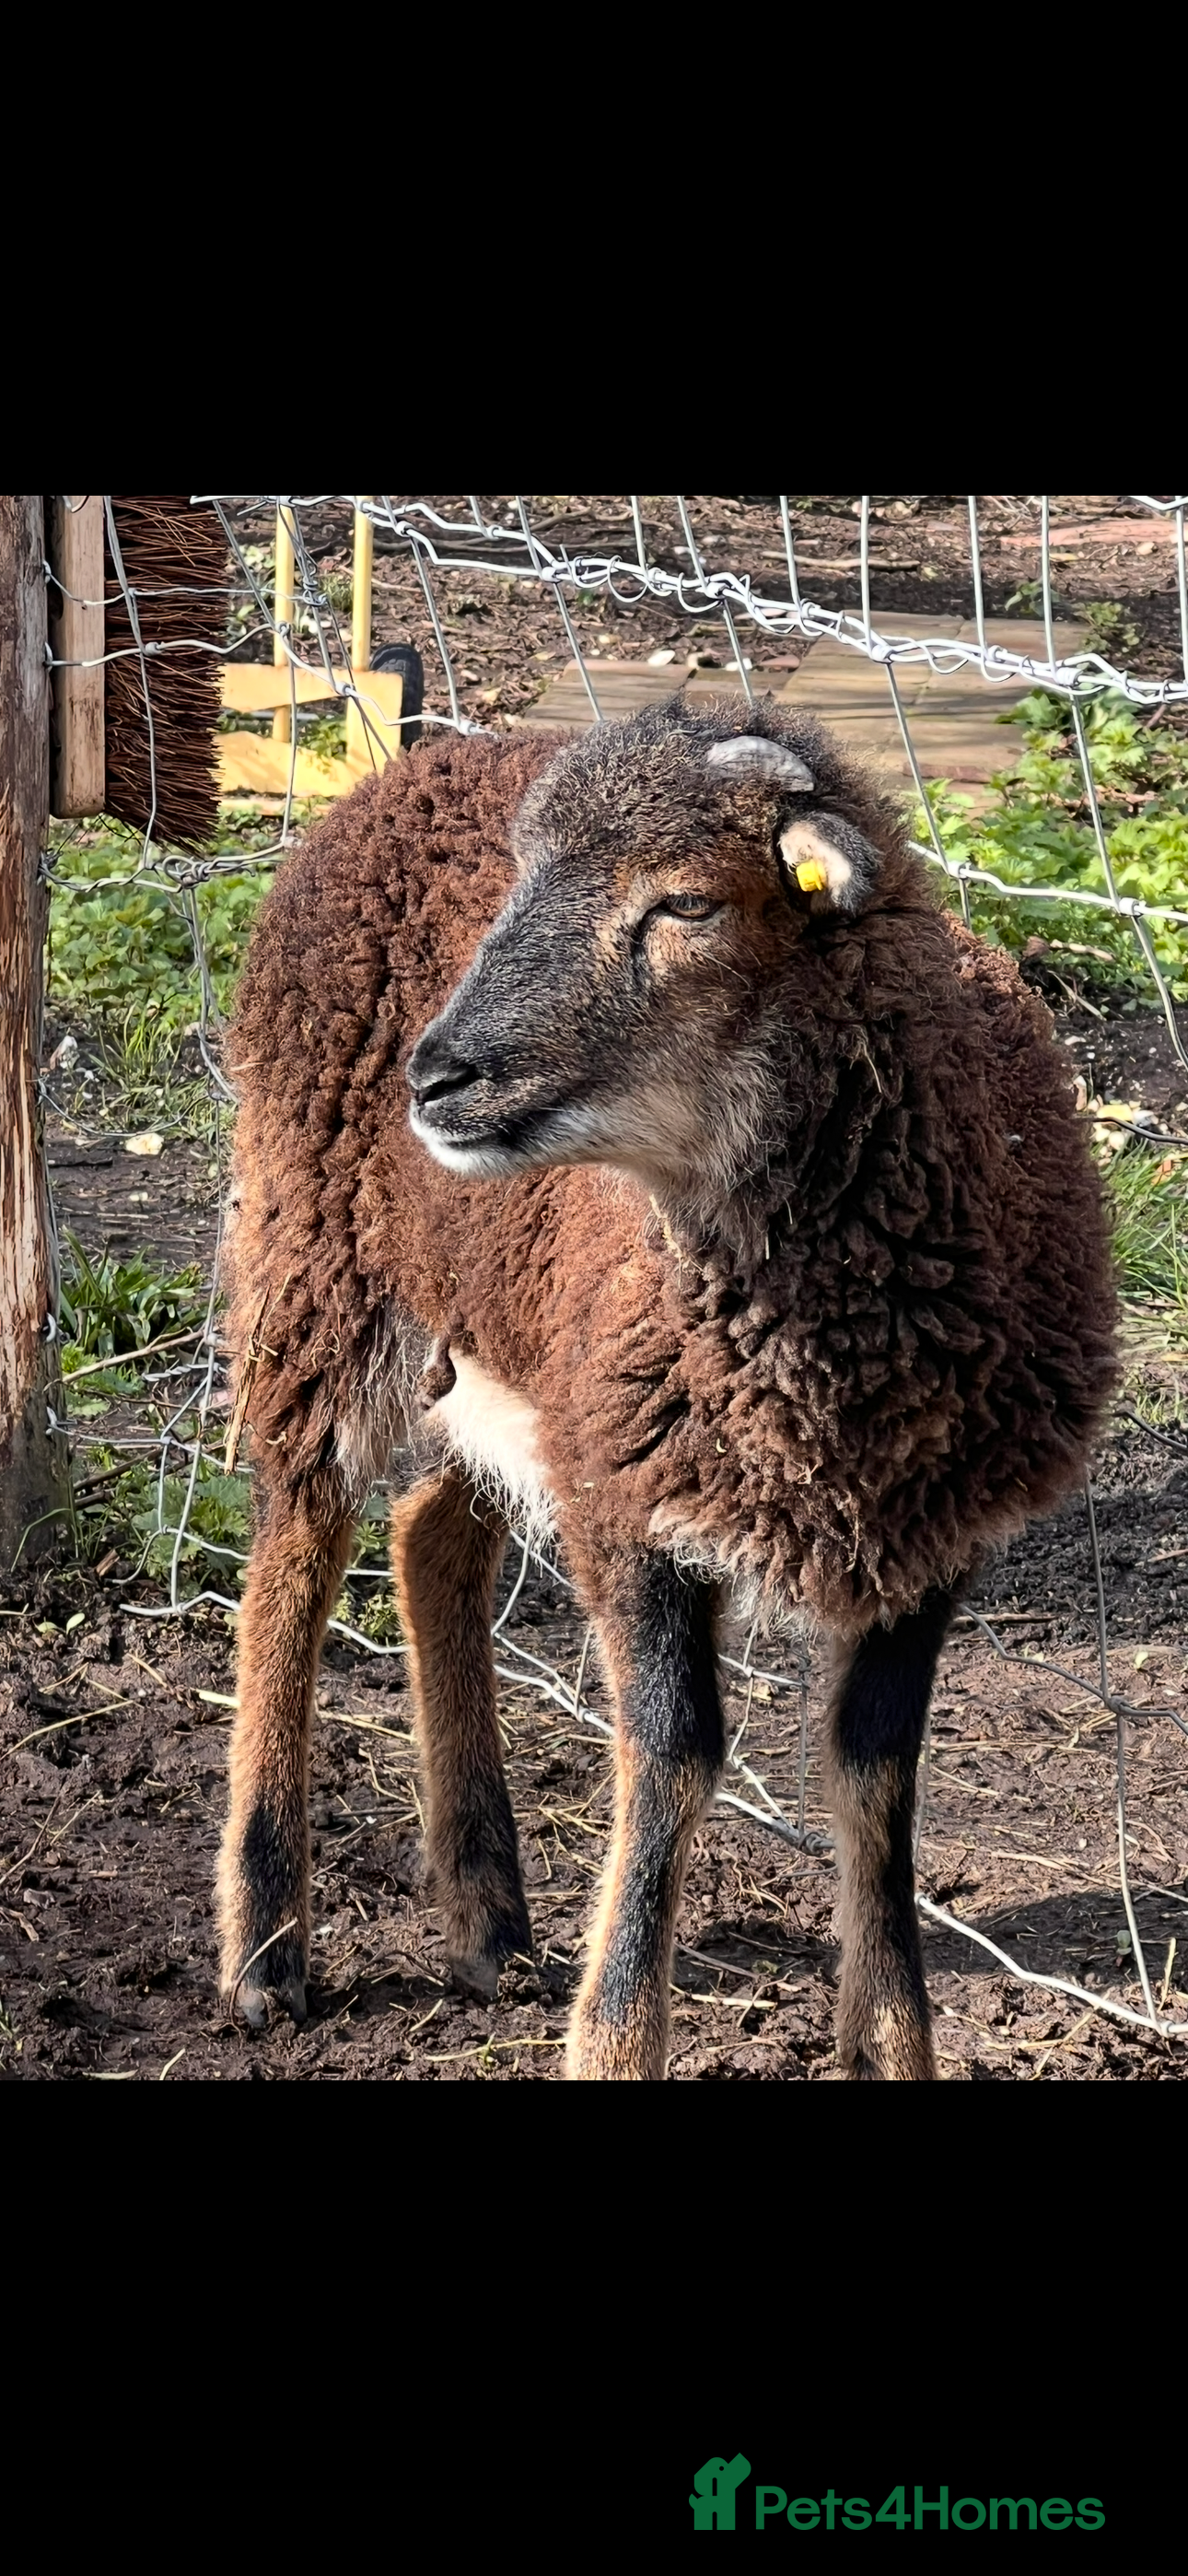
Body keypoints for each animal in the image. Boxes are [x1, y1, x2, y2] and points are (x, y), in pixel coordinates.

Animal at [218, 696, 1118, 2079]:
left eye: (686, 902)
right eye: (522, 878)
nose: (439, 1076)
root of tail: (416, 760)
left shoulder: (925, 1535)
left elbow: (874, 1776)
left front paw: (886, 2042)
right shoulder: (637, 1509)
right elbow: (674, 1754)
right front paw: (615, 2038)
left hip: (524, 1349)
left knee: (429, 1538)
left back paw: (488, 1920)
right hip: (317, 1257)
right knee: (293, 1559)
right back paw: (266, 1950)